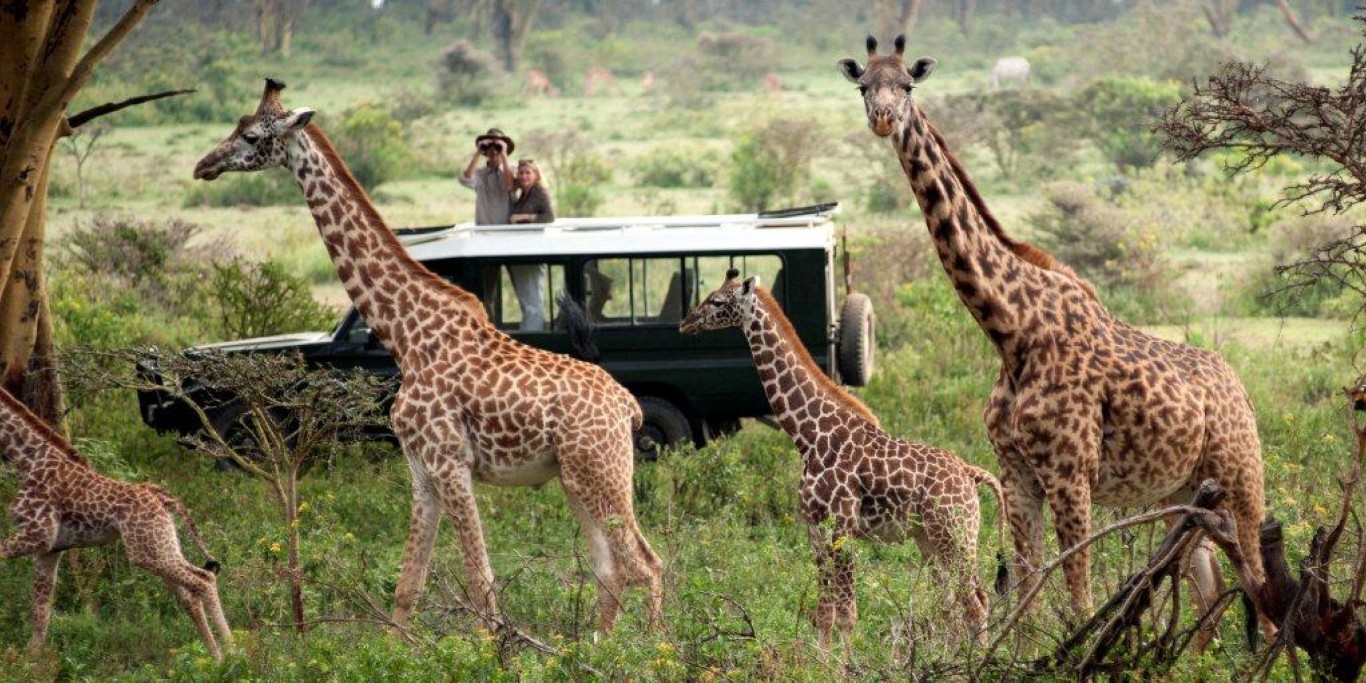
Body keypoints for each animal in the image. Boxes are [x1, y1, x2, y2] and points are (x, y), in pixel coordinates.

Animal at [0, 387, 230, 658]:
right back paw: (217, 657)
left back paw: (234, 653)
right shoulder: (49, 549)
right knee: (191, 595)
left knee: (204, 581)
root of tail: (161, 497)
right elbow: (41, 612)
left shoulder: (37, 535)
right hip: (162, 546)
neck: (29, 460)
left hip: (146, 553)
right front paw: (32, 661)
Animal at [192, 79, 661, 633]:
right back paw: (593, 644)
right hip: (576, 476)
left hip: (601, 470)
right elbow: (406, 589)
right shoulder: (420, 471)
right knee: (611, 568)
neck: (406, 338)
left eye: (249, 135)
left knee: (647, 565)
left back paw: (655, 648)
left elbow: (482, 587)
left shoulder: (450, 462)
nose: (203, 165)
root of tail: (627, 408)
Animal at [680, 269, 1005, 647]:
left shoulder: (843, 526)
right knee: (952, 602)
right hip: (930, 539)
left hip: (957, 535)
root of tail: (970, 473)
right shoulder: (814, 529)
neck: (809, 436)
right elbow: (825, 613)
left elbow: (849, 615)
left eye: (717, 301)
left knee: (976, 602)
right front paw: (821, 659)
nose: (685, 323)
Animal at [841, 33, 1267, 628]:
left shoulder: (1071, 475)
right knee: (1212, 586)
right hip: (1181, 495)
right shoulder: (1017, 475)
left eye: (908, 86)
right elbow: (1025, 597)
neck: (1011, 332)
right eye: (863, 86)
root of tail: (1241, 391)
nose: (883, 119)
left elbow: (1079, 598)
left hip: (1242, 482)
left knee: (1262, 585)